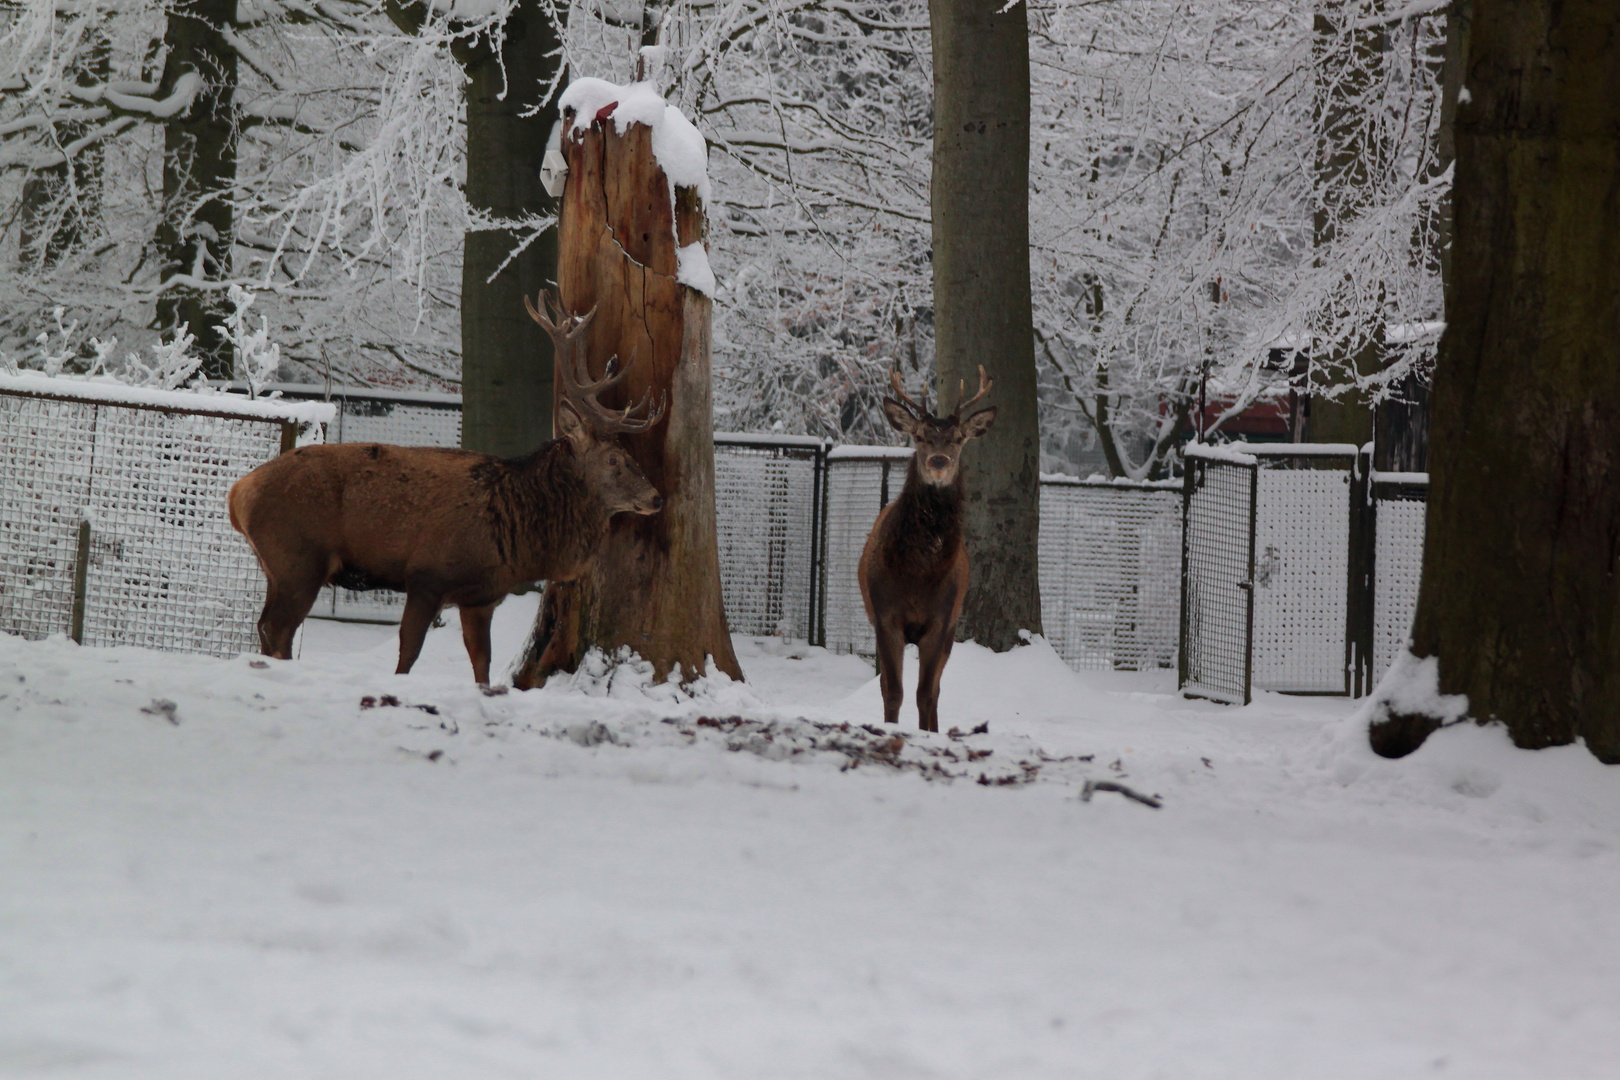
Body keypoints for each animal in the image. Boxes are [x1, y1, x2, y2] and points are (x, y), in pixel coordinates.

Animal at [225, 293, 660, 683]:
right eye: (614, 459)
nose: (656, 497)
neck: (516, 539)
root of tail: (237, 493)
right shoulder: (427, 575)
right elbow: (409, 652)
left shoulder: (481, 596)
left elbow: (482, 662)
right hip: (299, 558)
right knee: (277, 629)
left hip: (277, 565)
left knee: (266, 627)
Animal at [855, 367, 991, 731]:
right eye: (918, 436)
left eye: (958, 438)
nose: (938, 462)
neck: (918, 575)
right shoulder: (885, 616)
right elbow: (893, 691)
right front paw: (890, 730)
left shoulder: (940, 622)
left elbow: (926, 693)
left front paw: (927, 734)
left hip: (953, 628)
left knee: (937, 689)